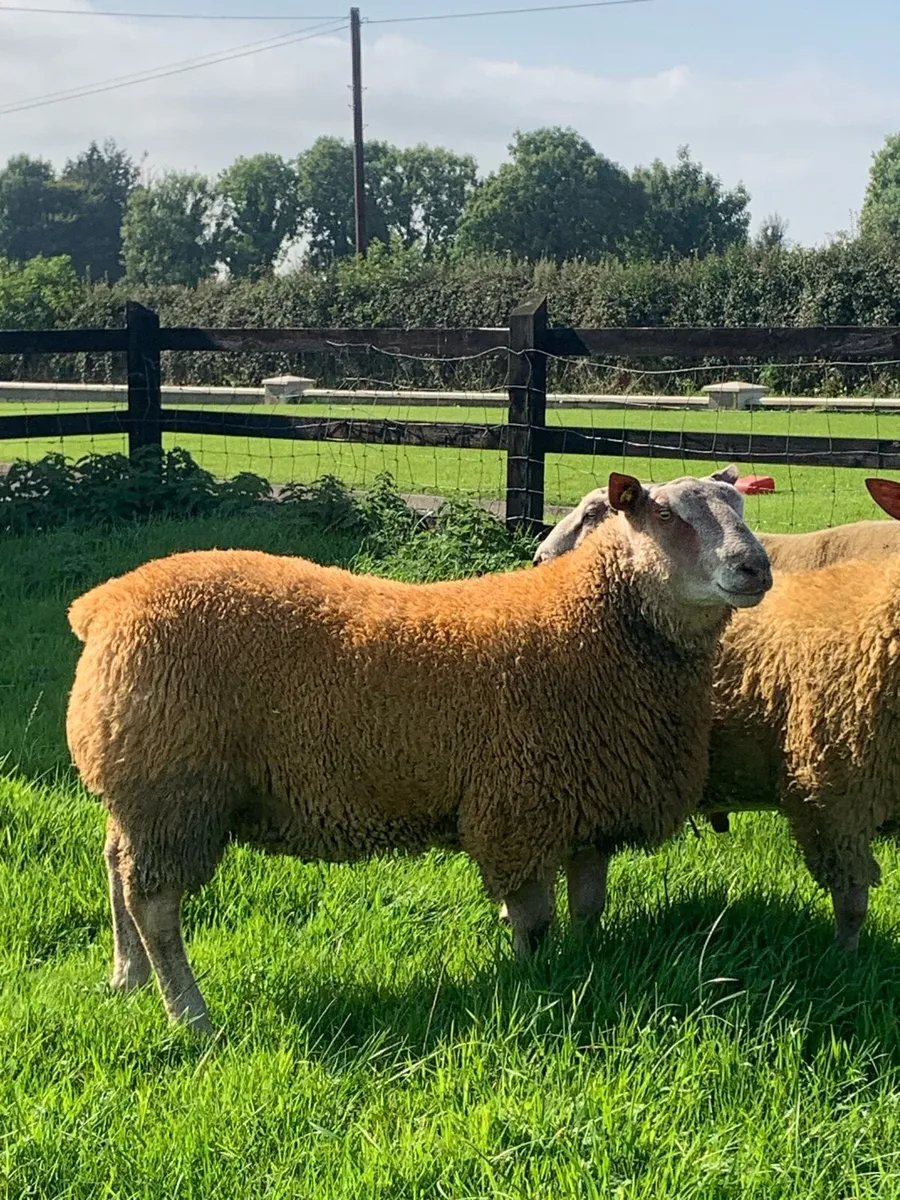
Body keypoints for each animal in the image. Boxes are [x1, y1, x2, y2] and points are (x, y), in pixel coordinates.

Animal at [65, 467, 771, 1033]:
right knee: (154, 904)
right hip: (175, 790)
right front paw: (534, 982)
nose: (755, 567)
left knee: (114, 865)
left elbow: (589, 908)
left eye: (740, 507)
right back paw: (190, 1016)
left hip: (138, 787)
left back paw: (126, 978)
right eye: (666, 515)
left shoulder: (590, 803)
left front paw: (584, 965)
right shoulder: (517, 808)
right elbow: (534, 920)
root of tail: (105, 604)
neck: (596, 624)